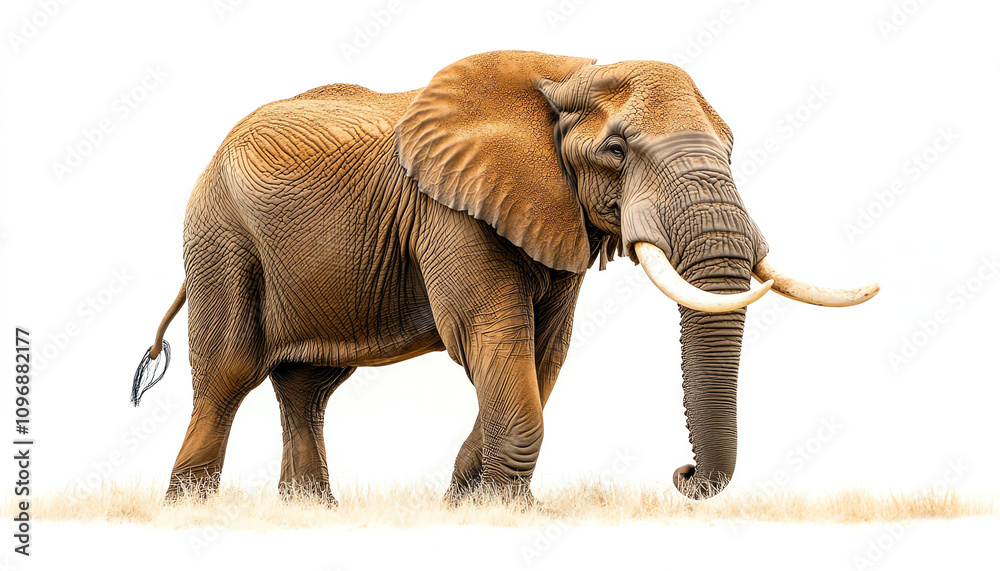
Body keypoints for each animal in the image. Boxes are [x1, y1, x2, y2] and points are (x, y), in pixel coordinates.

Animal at [130, 50, 878, 504]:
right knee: (229, 371)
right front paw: (504, 508)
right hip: (221, 235)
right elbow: (490, 334)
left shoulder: (558, 214)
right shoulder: (448, 209)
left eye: (730, 148)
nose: (684, 472)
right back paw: (191, 509)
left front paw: (470, 500)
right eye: (616, 150)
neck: (568, 74)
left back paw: (311, 510)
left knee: (307, 387)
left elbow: (545, 348)